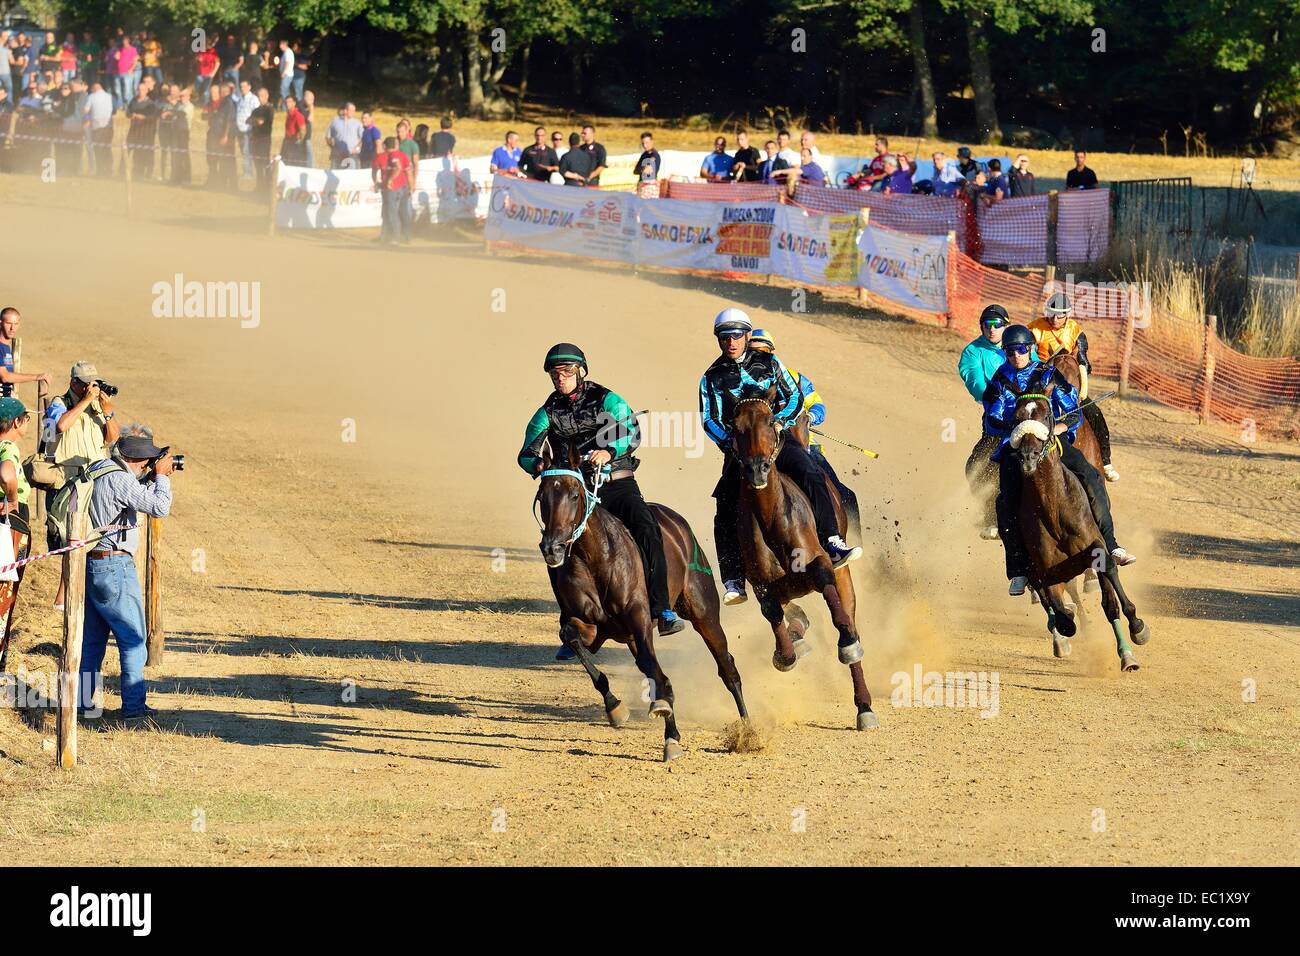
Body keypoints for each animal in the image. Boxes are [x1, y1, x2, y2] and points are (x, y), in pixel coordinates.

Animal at [530, 442, 748, 764]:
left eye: (575, 494)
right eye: (542, 496)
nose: (553, 548)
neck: (596, 558)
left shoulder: (639, 618)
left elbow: (658, 674)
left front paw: (670, 734)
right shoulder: (595, 628)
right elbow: (571, 636)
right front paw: (616, 708)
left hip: (704, 612)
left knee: (727, 667)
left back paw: (747, 729)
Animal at [728, 385, 878, 728]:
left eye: (770, 421)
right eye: (735, 427)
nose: (756, 469)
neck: (773, 524)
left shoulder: (820, 563)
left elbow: (830, 595)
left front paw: (847, 644)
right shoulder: (763, 586)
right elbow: (774, 617)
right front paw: (789, 649)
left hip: (843, 575)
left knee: (849, 618)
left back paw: (864, 706)